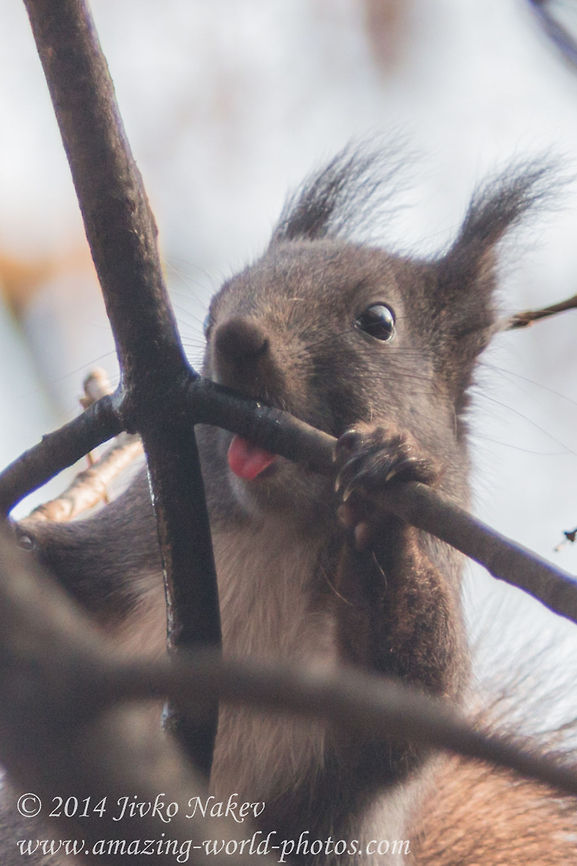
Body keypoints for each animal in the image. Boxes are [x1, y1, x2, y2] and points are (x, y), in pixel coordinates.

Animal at [2, 148, 575, 864]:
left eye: (379, 322)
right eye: (212, 311)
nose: (236, 336)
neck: (275, 533)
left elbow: (411, 702)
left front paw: (383, 500)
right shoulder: (116, 561)